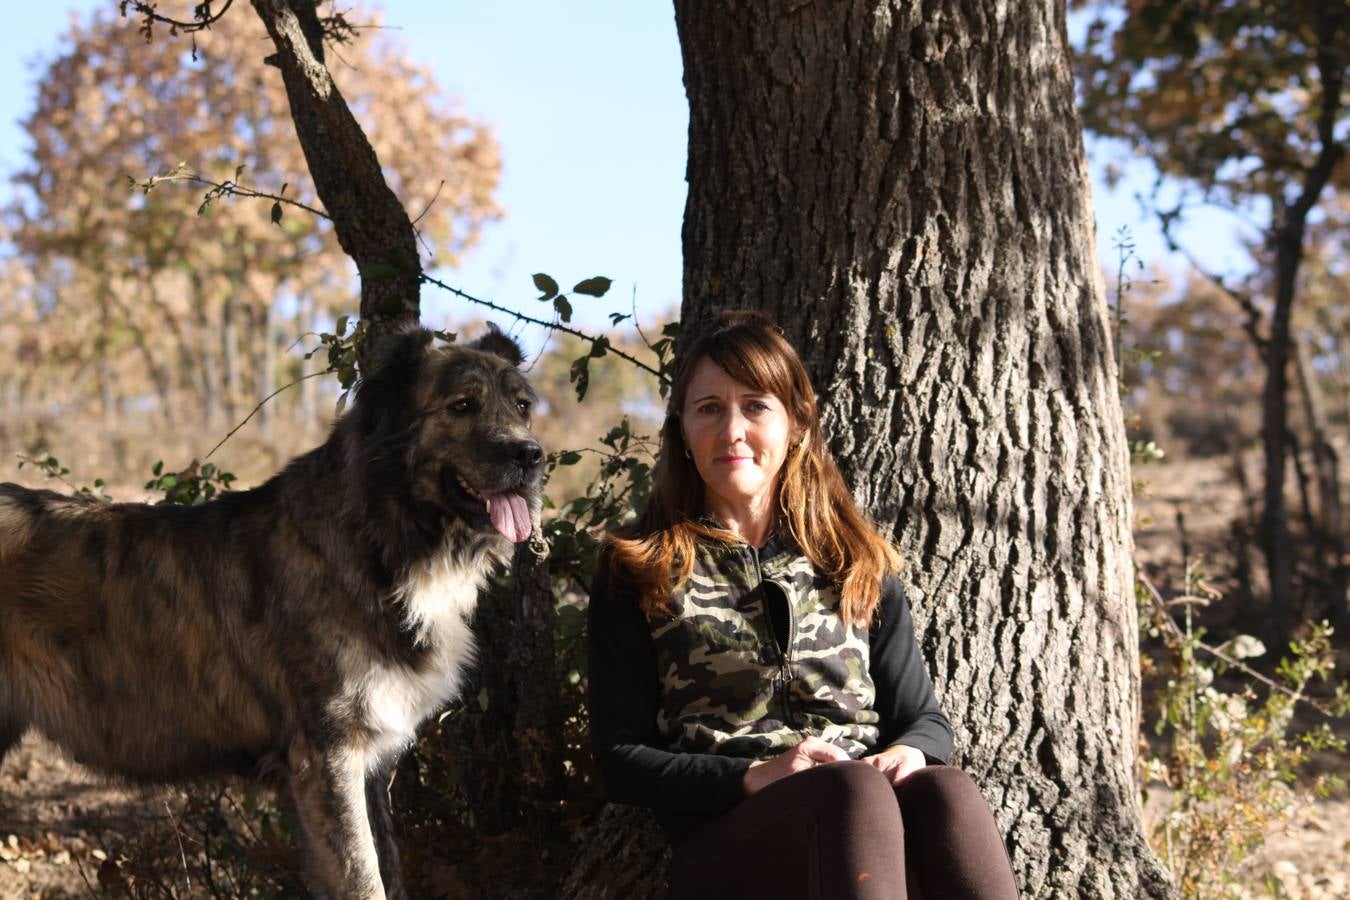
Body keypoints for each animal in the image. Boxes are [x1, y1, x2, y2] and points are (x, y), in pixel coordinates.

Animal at [2, 325, 548, 900]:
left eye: (522, 406)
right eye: (462, 405)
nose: (532, 457)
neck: (376, 538)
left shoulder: (367, 768)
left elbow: (387, 867)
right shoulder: (328, 760)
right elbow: (365, 878)